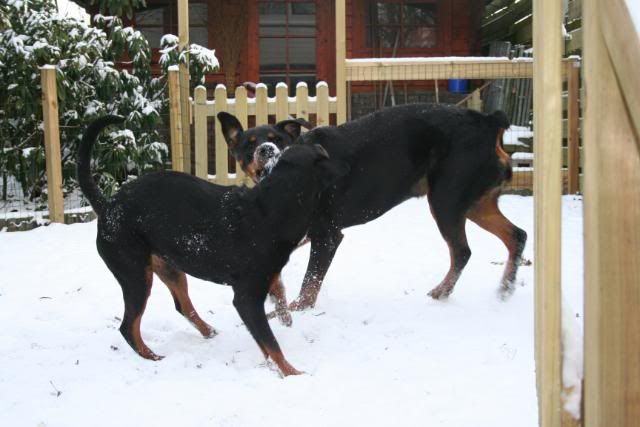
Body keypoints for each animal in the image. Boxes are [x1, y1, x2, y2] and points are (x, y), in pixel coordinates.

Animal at [79, 115, 350, 376]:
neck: (269, 208)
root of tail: (107, 207)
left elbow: (268, 335)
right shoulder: (246, 298)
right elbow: (271, 344)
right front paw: (293, 374)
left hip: (169, 267)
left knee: (182, 306)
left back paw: (209, 332)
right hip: (134, 273)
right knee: (128, 327)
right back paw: (154, 357)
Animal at [218, 103, 528, 310]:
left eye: (278, 140)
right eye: (249, 145)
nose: (265, 150)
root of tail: (487, 121)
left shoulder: (327, 234)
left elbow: (311, 280)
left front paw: (299, 307)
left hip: (447, 199)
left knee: (462, 251)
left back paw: (442, 291)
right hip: (475, 202)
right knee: (517, 235)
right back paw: (505, 288)